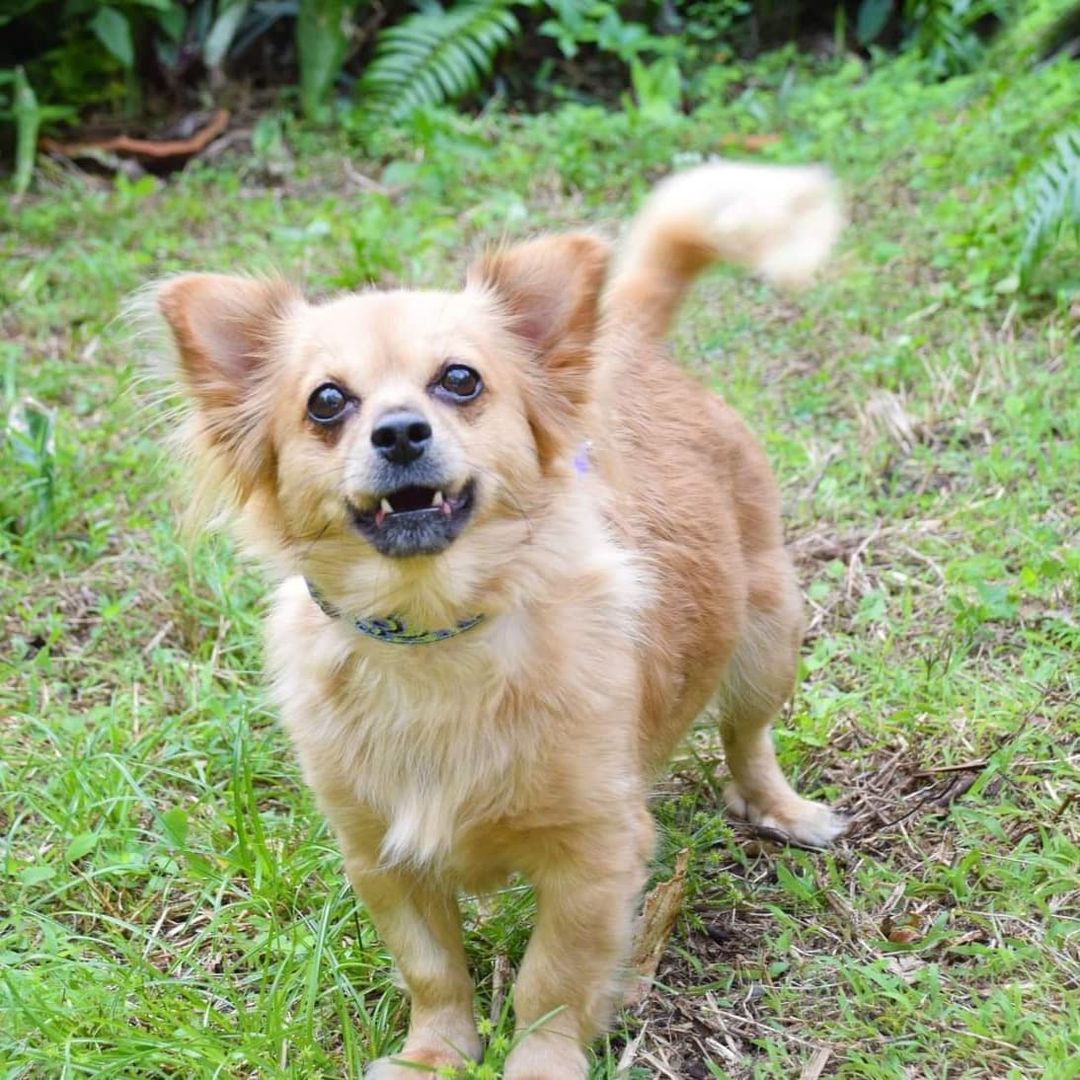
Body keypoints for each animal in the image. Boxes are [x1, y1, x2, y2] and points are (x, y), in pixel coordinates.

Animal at [154, 162, 842, 1080]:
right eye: (327, 402)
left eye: (461, 381)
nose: (400, 431)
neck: (435, 632)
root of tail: (627, 346)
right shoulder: (382, 859)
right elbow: (432, 968)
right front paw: (434, 1055)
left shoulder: (593, 858)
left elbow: (553, 980)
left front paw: (540, 1061)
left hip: (767, 637)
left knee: (749, 738)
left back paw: (783, 811)